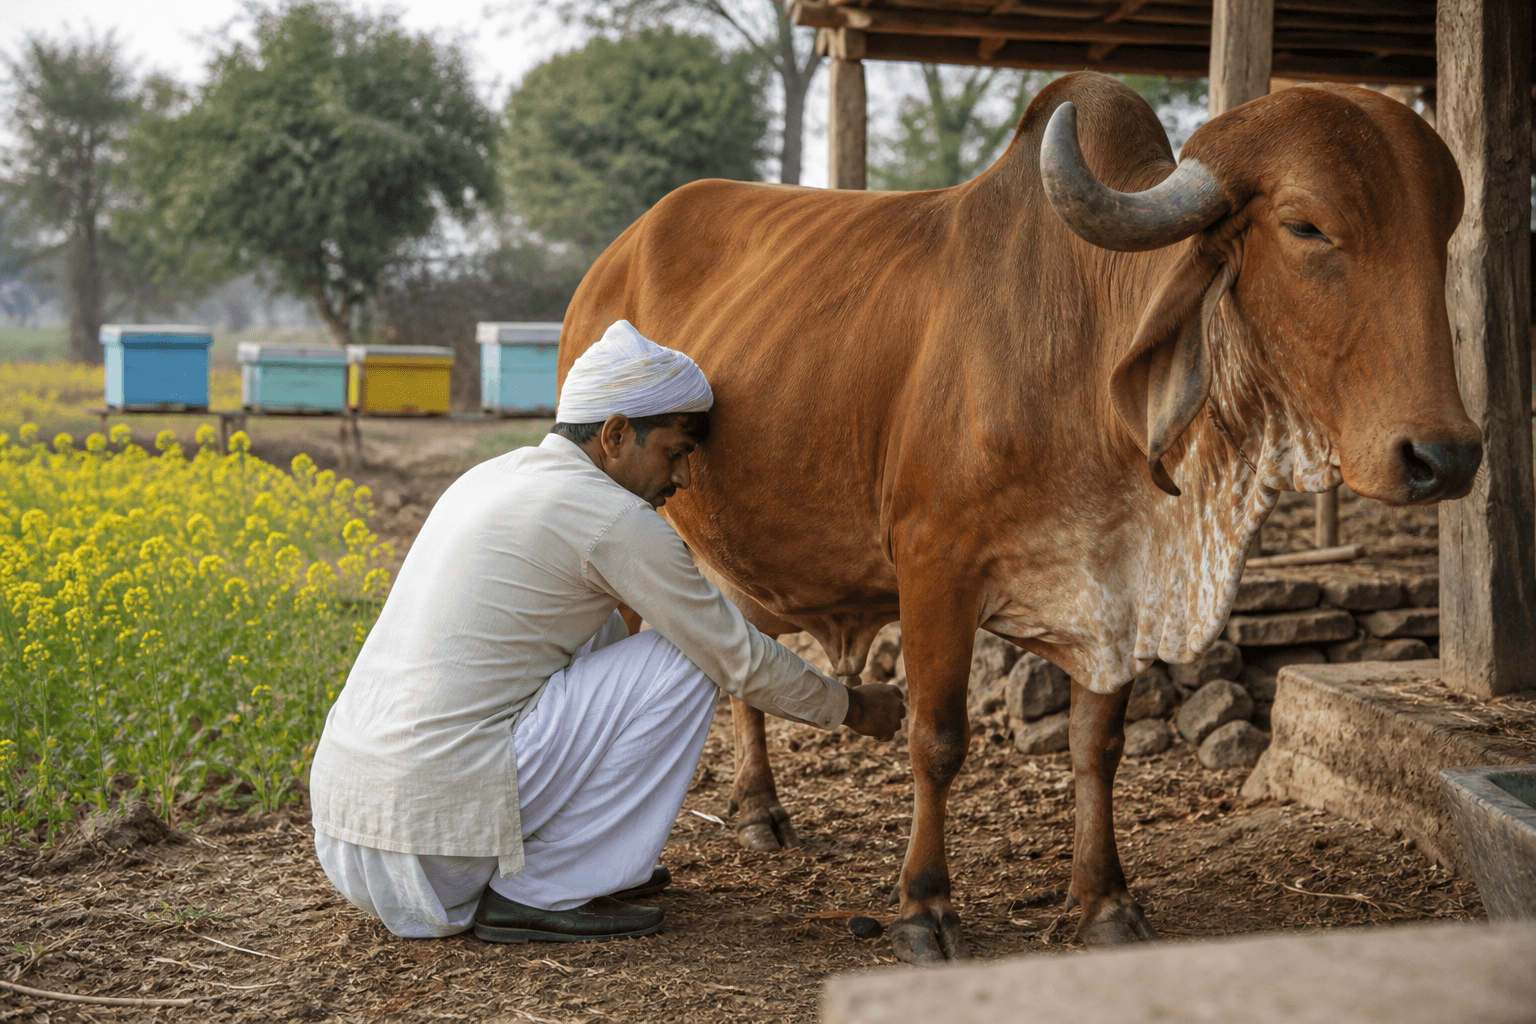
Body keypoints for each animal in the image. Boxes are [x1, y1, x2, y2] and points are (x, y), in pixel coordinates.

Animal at [558, 71, 1481, 964]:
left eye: (1440, 233)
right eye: (1305, 226)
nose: (1445, 456)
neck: (1088, 369)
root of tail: (607, 265)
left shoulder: (1114, 590)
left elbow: (1096, 747)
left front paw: (1104, 900)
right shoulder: (935, 564)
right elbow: (937, 736)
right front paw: (924, 907)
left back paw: (756, 809)